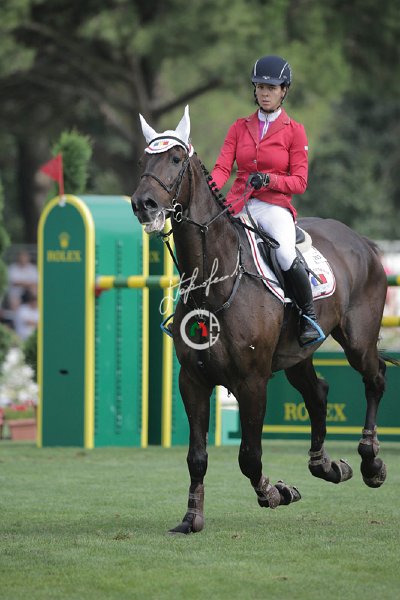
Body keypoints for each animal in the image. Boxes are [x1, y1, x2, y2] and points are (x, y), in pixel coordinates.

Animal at [131, 106, 389, 534]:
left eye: (176, 159)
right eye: (142, 162)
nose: (144, 204)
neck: (214, 282)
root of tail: (362, 242)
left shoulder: (252, 382)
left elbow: (249, 456)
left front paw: (275, 492)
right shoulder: (193, 381)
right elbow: (197, 456)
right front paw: (191, 517)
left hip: (357, 341)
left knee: (375, 378)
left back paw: (371, 461)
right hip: (297, 355)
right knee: (318, 393)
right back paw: (326, 466)